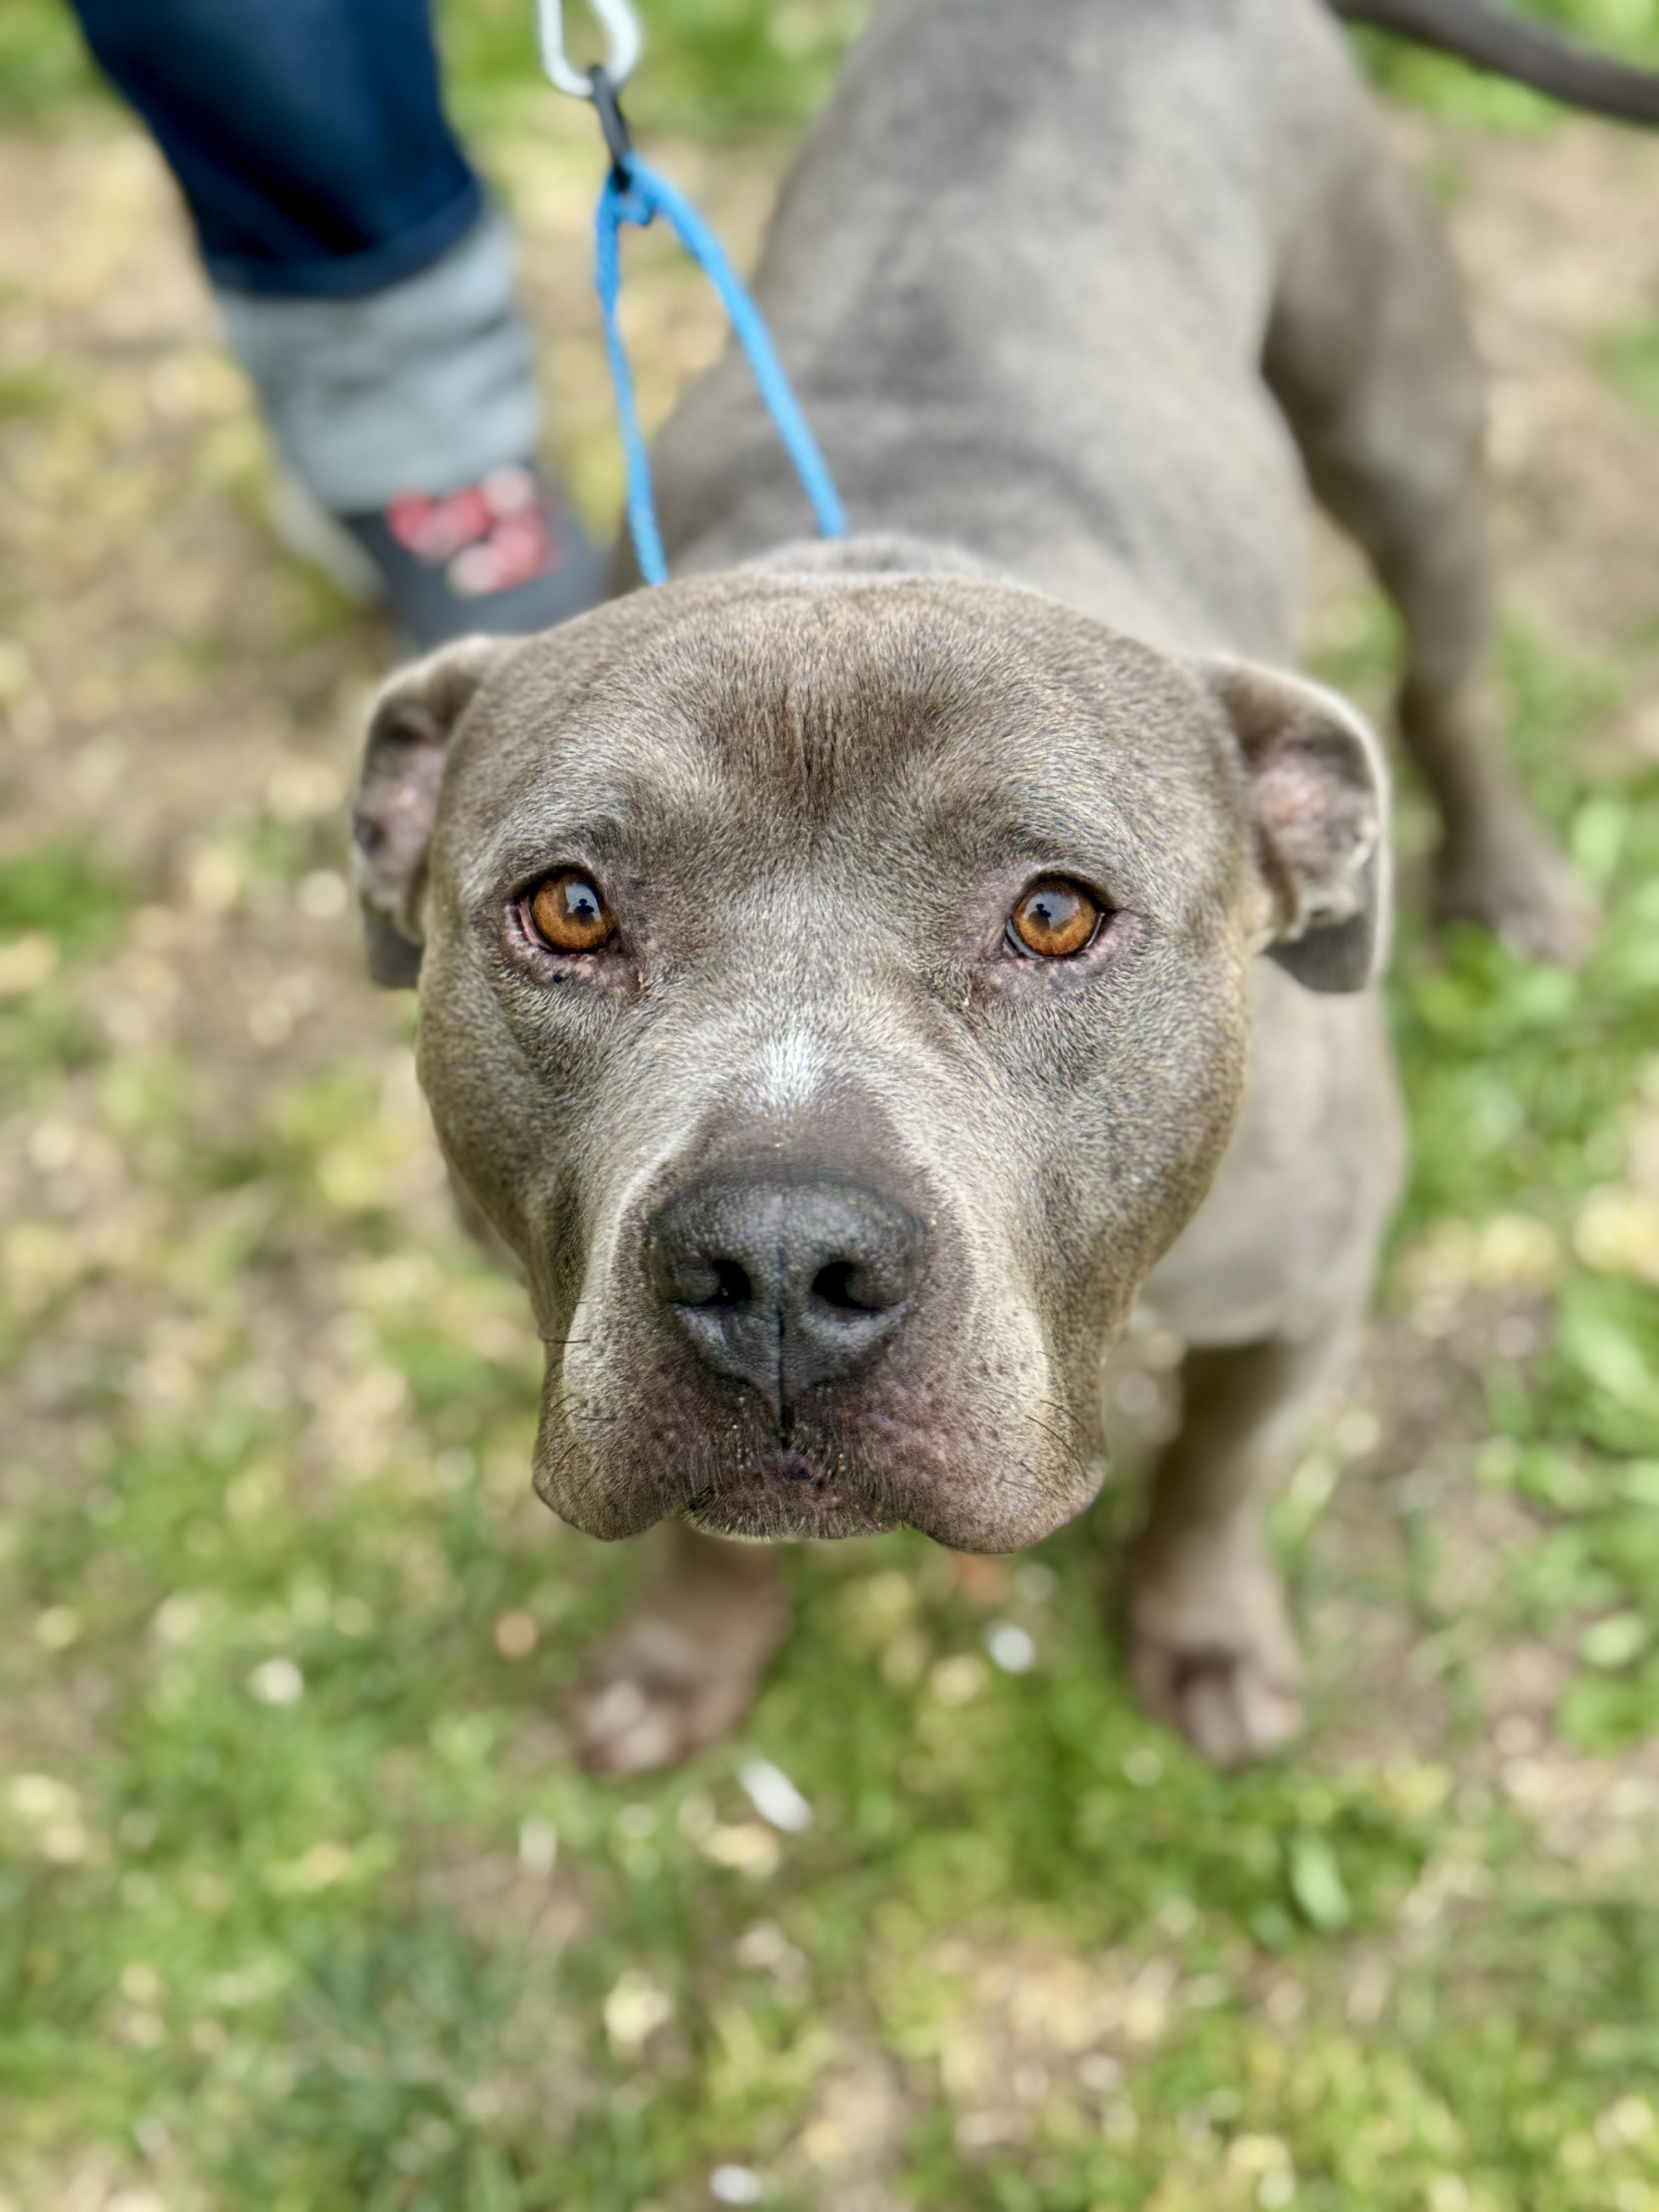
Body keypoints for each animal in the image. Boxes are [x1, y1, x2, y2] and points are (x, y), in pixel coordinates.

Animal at [351, 0, 1652, 1773]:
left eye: (1055, 914)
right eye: (570, 909)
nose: (777, 1263)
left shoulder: (1310, 1286)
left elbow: (1219, 1470)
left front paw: (1205, 1633)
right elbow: (704, 1529)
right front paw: (687, 1655)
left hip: (1404, 434)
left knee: (1450, 676)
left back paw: (1510, 881)